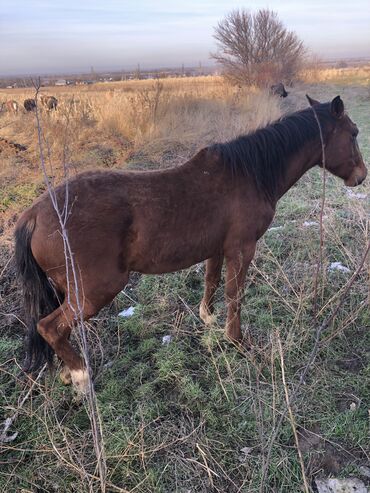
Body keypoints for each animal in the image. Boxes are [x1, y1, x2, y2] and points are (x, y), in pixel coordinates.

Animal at [15, 94, 368, 390]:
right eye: (353, 133)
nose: (361, 176)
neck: (251, 173)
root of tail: (34, 214)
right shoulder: (242, 249)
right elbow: (235, 295)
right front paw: (237, 341)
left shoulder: (217, 249)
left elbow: (212, 281)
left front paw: (208, 319)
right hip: (95, 291)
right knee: (50, 327)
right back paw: (81, 375)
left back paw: (68, 370)